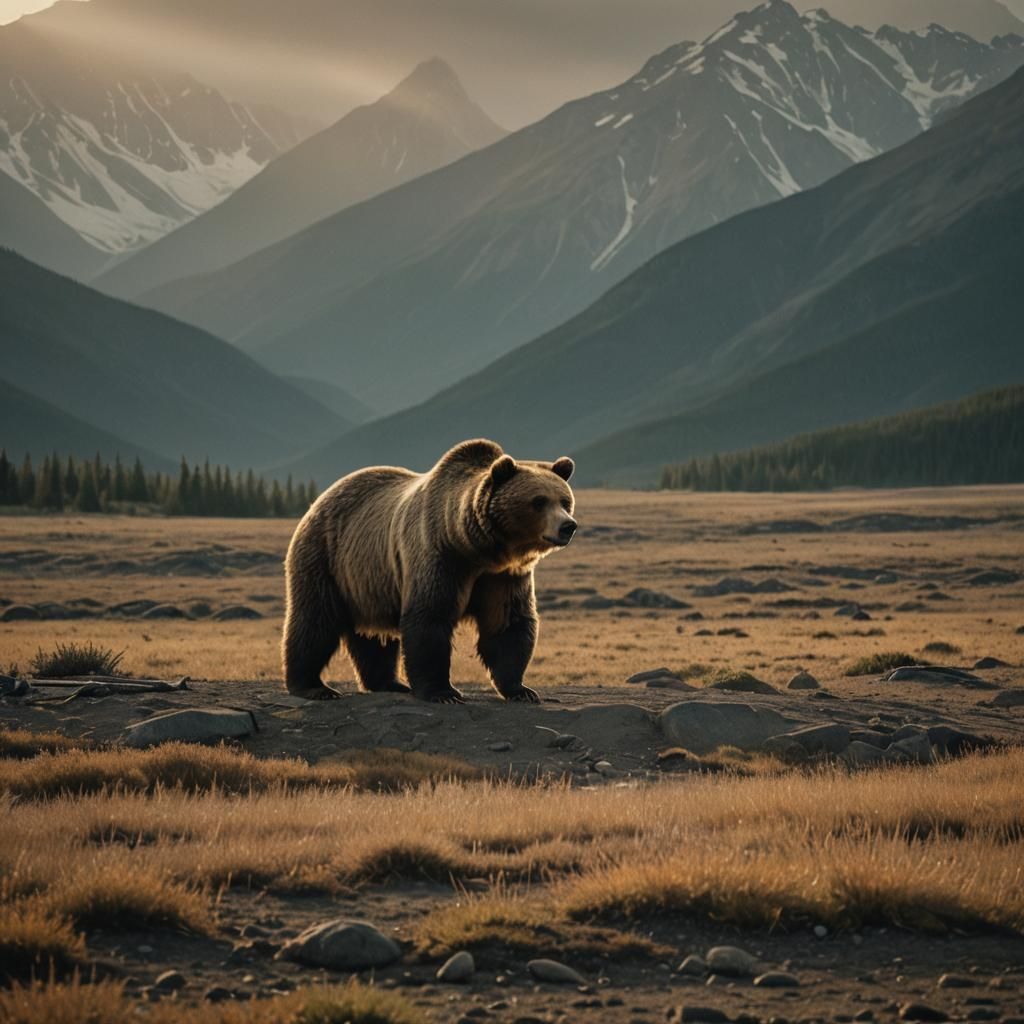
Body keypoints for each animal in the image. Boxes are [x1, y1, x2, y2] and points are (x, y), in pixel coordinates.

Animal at [281, 438, 577, 704]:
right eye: (539, 501)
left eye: (564, 500)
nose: (568, 526)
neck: (477, 548)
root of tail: (323, 496)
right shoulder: (439, 556)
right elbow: (429, 617)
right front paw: (443, 693)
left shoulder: (503, 576)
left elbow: (507, 623)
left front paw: (521, 690)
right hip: (325, 558)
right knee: (315, 620)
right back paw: (313, 686)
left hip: (368, 582)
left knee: (373, 638)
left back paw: (389, 683)